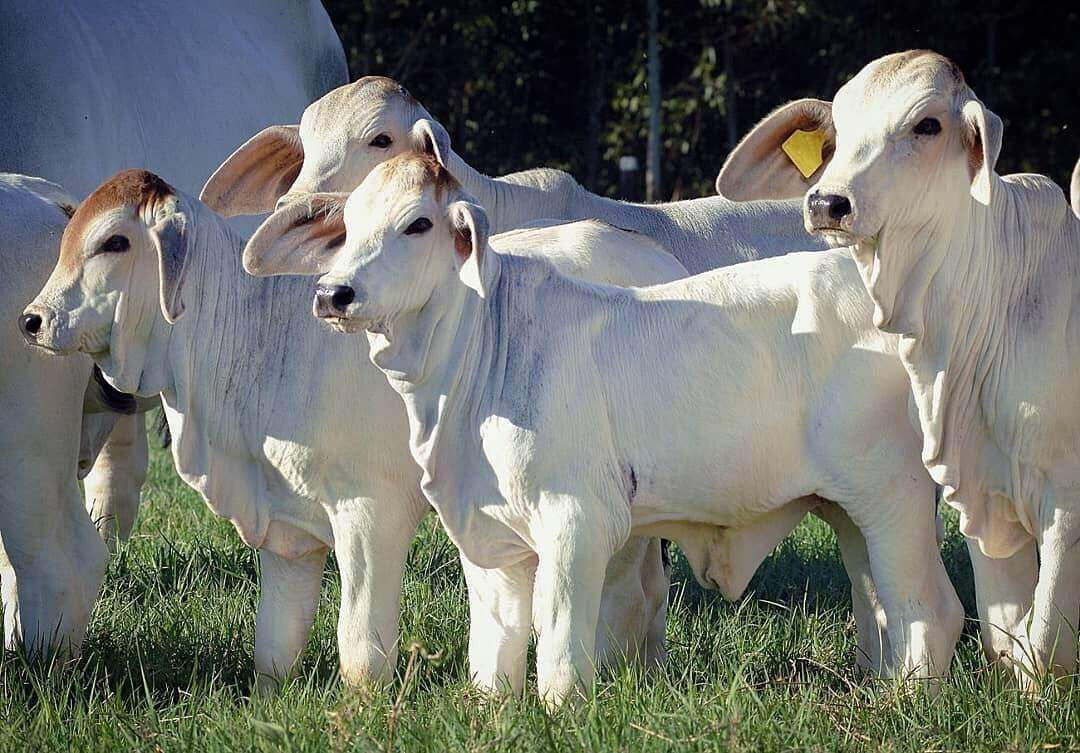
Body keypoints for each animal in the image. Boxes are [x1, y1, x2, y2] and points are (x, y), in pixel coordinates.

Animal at [19, 170, 682, 687]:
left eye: (114, 241)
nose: (33, 319)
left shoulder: (371, 513)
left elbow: (361, 650)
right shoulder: (286, 530)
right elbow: (275, 651)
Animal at [248, 155, 967, 708]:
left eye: (417, 223)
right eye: (345, 230)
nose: (333, 294)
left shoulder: (579, 519)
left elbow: (561, 647)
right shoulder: (487, 538)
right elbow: (496, 651)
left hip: (895, 494)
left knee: (929, 609)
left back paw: (906, 707)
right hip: (851, 509)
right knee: (883, 604)